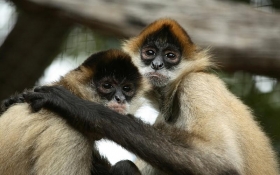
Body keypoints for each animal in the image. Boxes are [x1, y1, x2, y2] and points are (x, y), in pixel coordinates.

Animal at [22, 18, 280, 174]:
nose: (157, 64)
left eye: (170, 56)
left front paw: (77, 107)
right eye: (150, 53)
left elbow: (222, 165)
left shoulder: (196, 84)